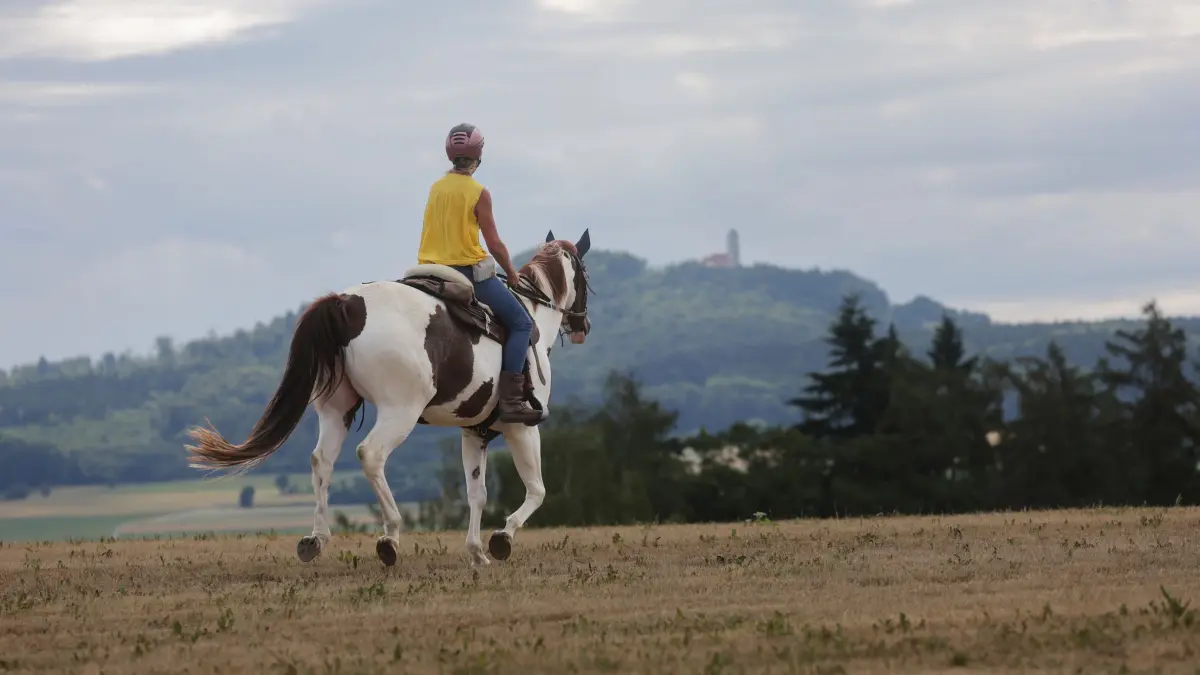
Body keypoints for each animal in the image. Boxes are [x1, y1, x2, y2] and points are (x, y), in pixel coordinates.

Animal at [183, 229, 593, 567]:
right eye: (585, 275)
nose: (583, 325)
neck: (532, 317)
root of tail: (347, 303)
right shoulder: (520, 428)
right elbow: (537, 490)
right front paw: (501, 540)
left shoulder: (474, 432)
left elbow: (477, 492)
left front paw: (477, 553)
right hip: (401, 412)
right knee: (371, 455)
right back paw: (389, 536)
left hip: (336, 410)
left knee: (321, 461)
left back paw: (317, 539)